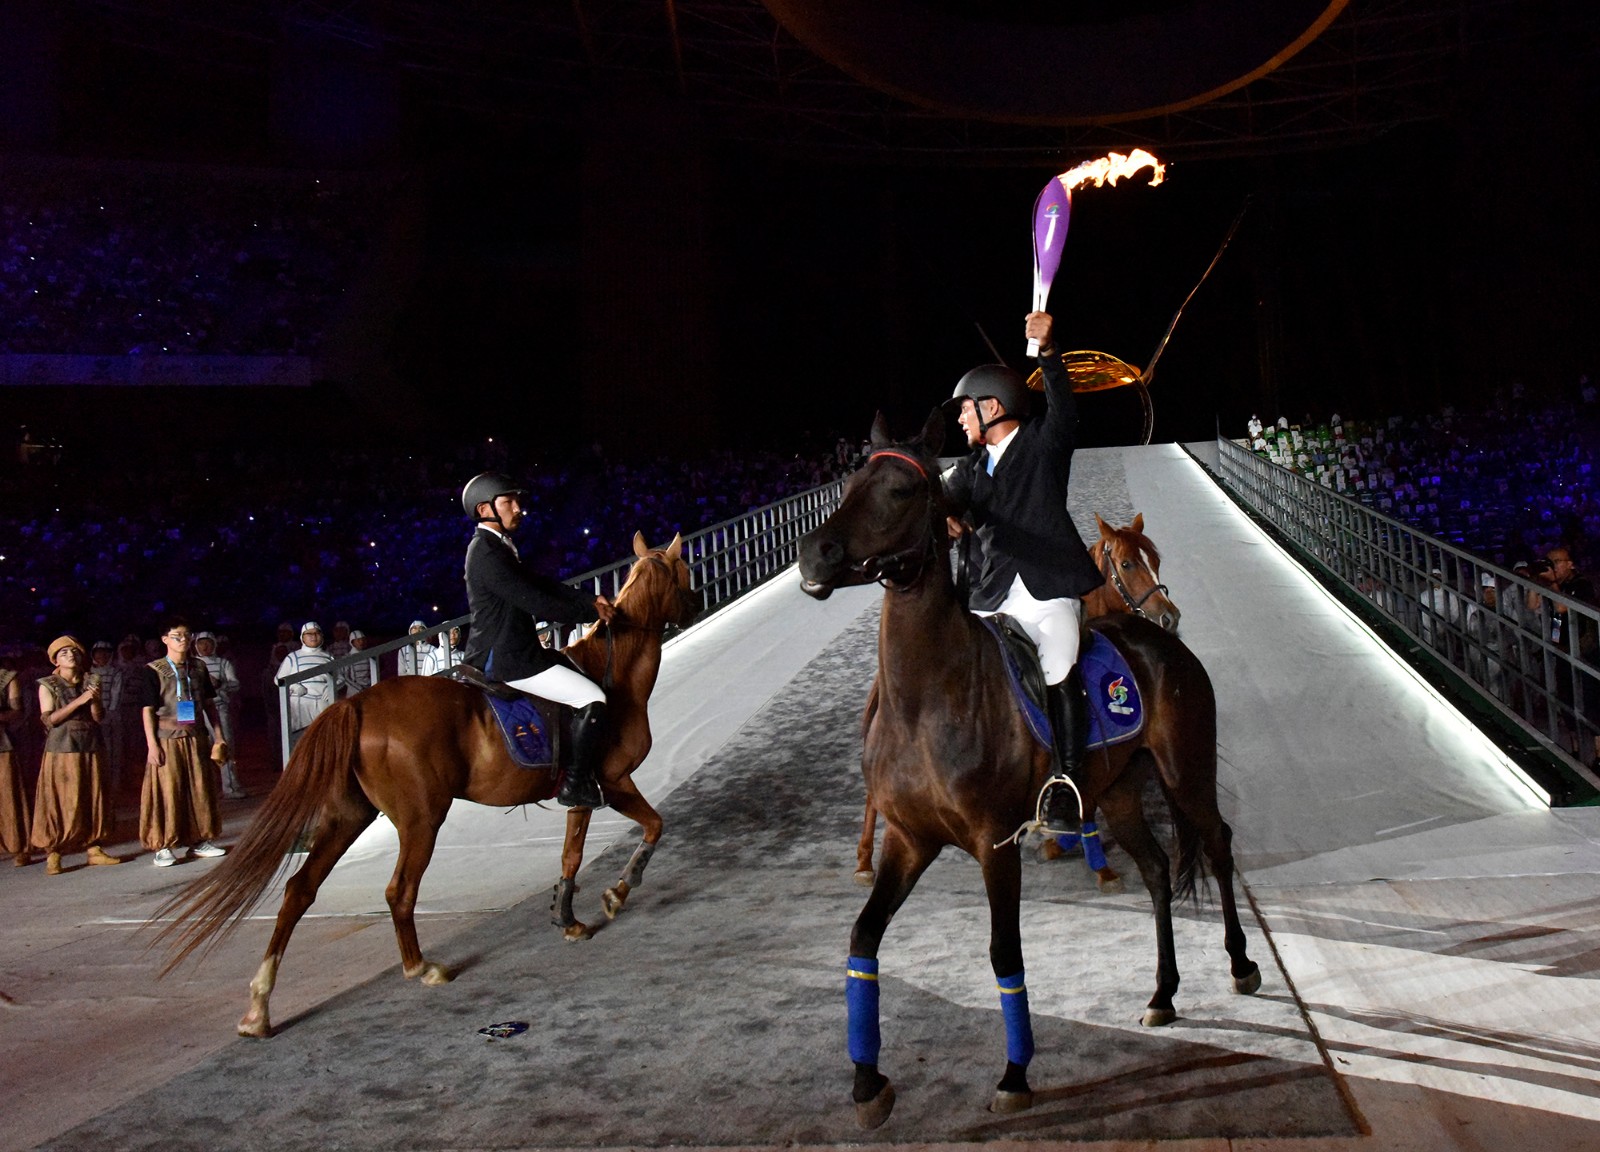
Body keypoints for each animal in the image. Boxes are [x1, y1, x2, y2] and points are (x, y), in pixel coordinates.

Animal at [152, 531, 697, 1036]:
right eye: (684, 574)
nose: (691, 606)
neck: (614, 675)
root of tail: (357, 704)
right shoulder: (612, 781)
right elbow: (651, 827)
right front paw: (617, 893)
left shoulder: (583, 794)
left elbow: (572, 855)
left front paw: (569, 918)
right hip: (421, 819)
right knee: (399, 891)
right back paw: (421, 968)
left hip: (348, 816)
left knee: (300, 890)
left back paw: (259, 1008)